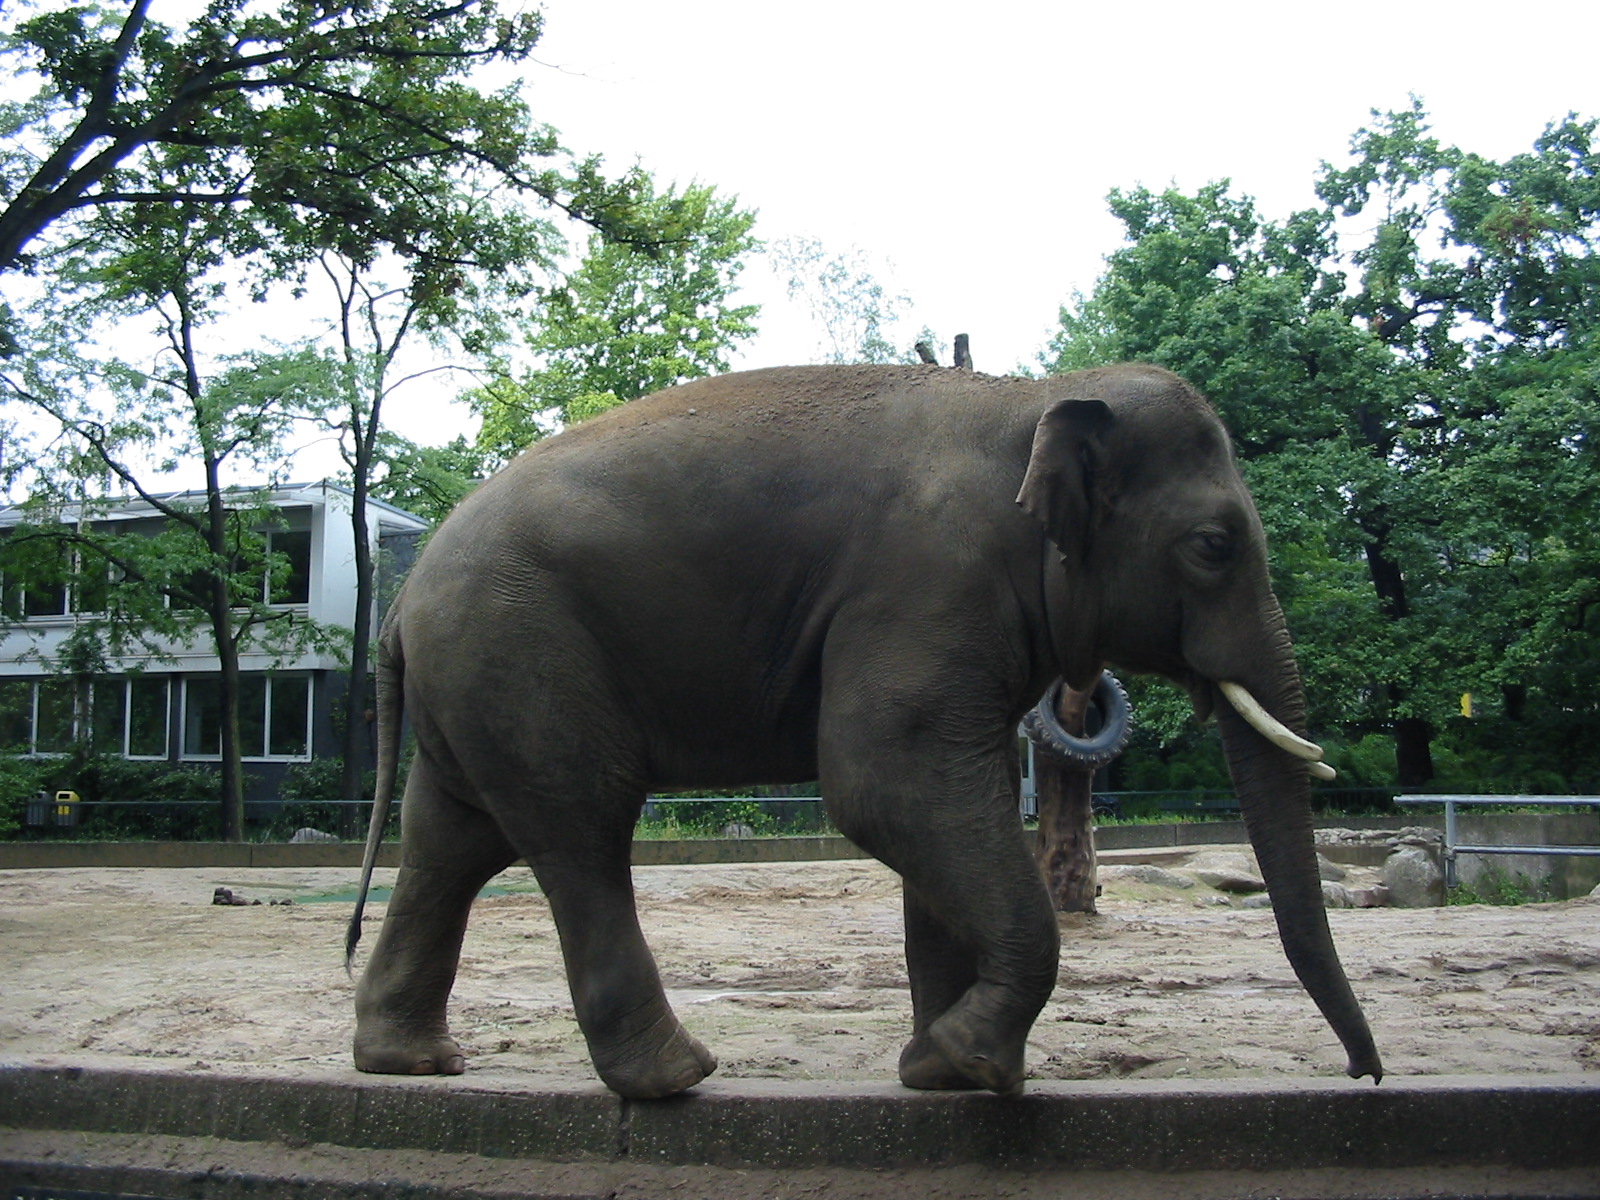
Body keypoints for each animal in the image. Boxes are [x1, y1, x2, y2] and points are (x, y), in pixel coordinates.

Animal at [345, 361, 1383, 1099]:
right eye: (1213, 547)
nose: (1364, 1075)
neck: (1033, 396)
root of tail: (399, 601)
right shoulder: (927, 584)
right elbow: (888, 785)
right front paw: (975, 1063)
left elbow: (944, 801)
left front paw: (936, 1072)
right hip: (523, 649)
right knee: (580, 828)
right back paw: (675, 1077)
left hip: (476, 672)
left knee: (453, 839)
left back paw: (413, 1062)